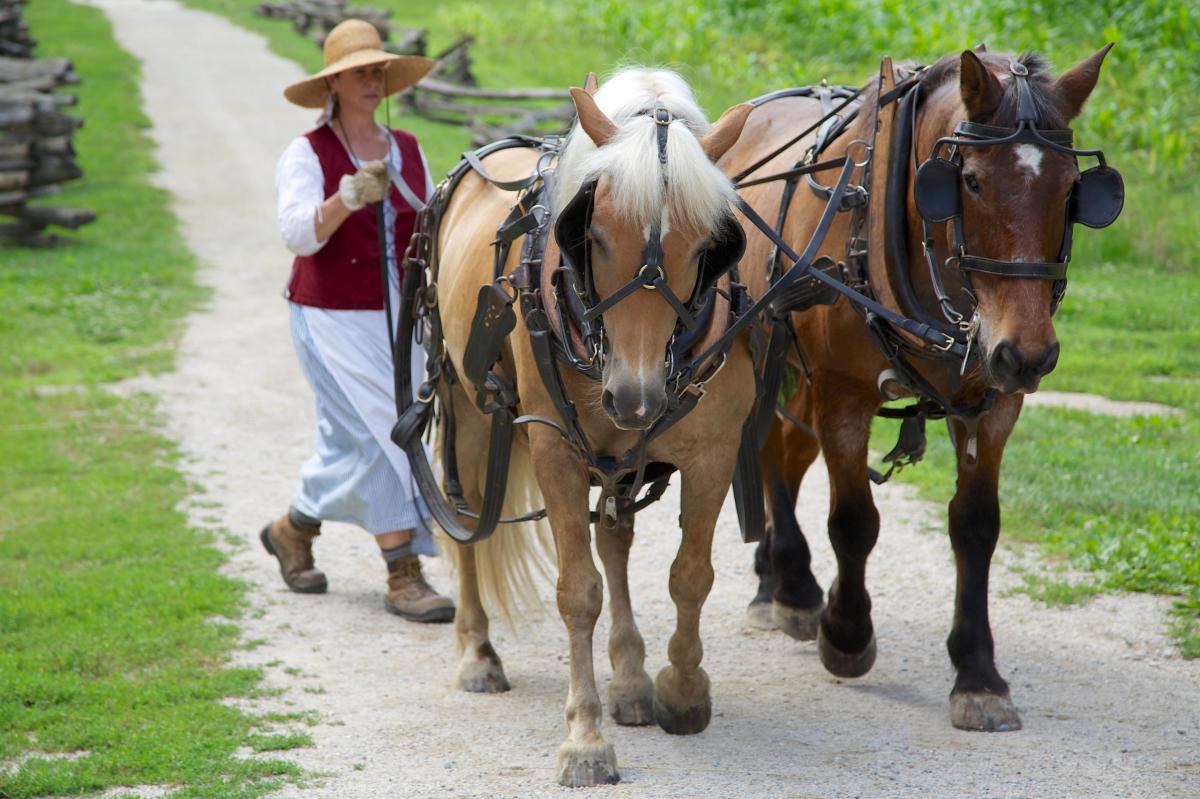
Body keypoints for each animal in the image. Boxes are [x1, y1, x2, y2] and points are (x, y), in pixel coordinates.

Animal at [429, 69, 748, 782]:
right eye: (594, 235)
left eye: (706, 244)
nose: (634, 397)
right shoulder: (556, 448)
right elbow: (578, 591)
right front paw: (585, 738)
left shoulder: (714, 452)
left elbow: (690, 574)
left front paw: (682, 690)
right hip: (469, 410)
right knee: (467, 522)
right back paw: (476, 652)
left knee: (617, 538)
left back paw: (629, 679)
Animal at [720, 43, 1123, 729]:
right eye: (971, 182)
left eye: (1073, 188)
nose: (1029, 354)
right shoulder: (843, 392)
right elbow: (854, 520)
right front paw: (846, 634)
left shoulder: (994, 400)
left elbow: (976, 526)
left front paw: (978, 674)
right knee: (772, 449)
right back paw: (793, 587)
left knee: (789, 453)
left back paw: (777, 580)